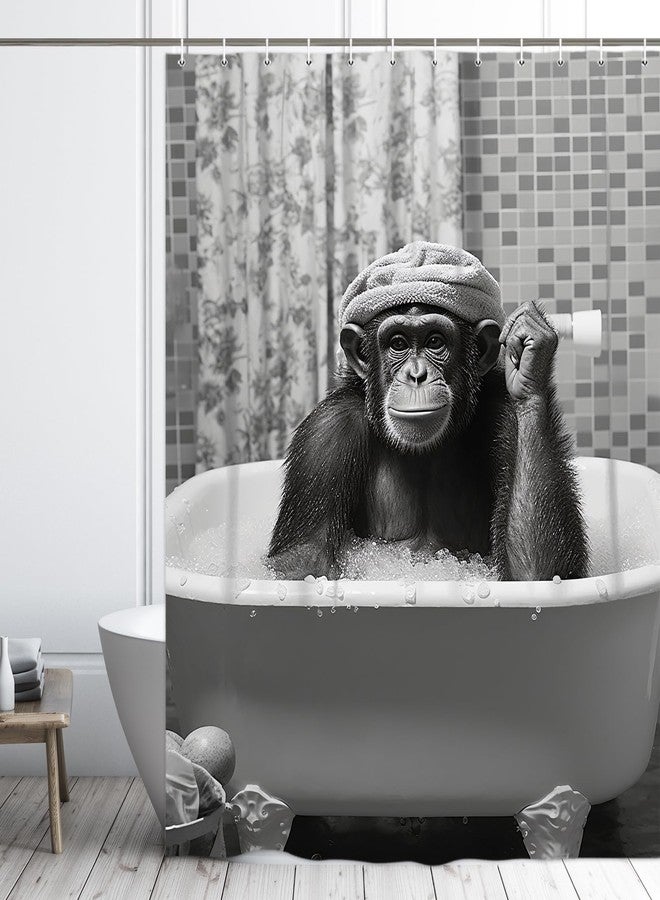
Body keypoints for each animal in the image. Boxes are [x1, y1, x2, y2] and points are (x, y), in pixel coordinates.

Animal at [267, 244, 588, 582]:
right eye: (397, 343)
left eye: (435, 341)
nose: (417, 374)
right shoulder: (325, 433)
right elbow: (303, 559)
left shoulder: (507, 414)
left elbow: (538, 571)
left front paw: (530, 353)